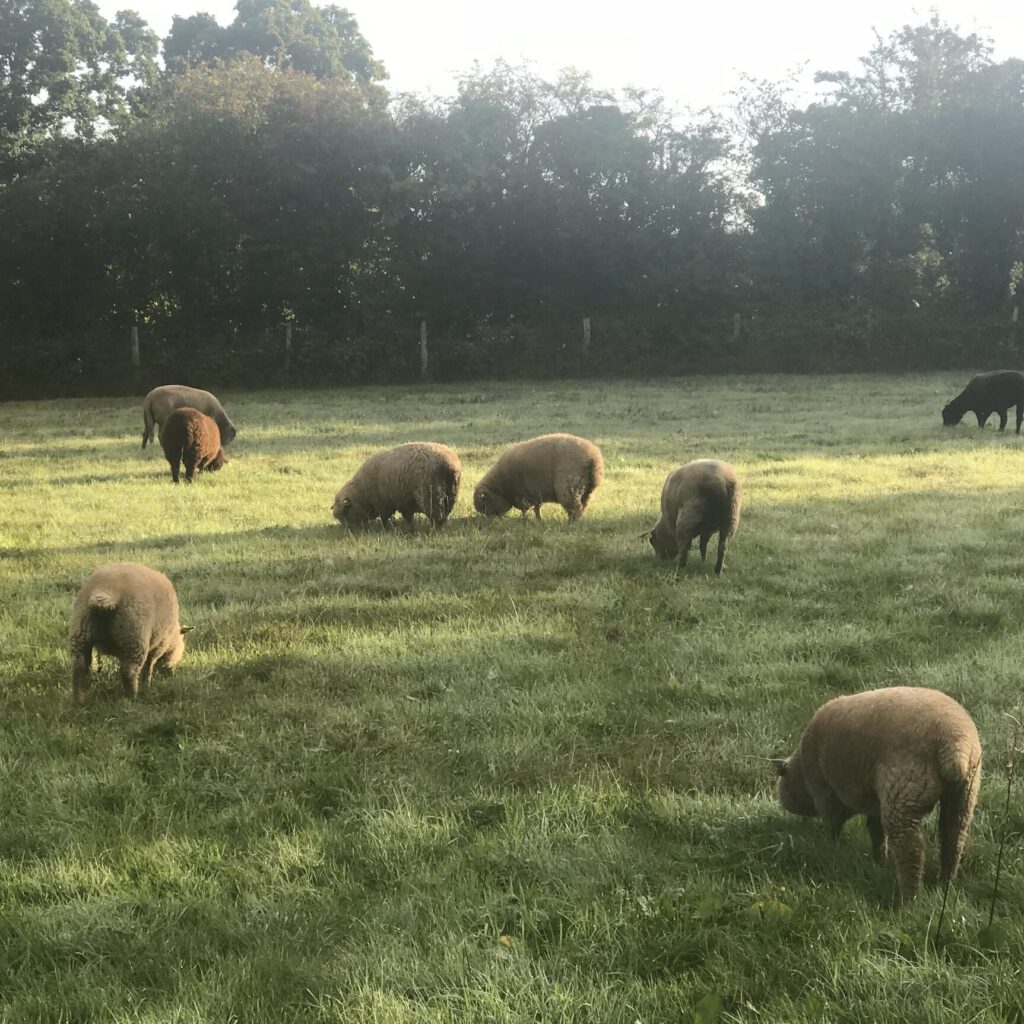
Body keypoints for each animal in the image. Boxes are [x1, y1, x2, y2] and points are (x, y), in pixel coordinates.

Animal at [68, 562, 189, 703]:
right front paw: (146, 684)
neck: (172, 637)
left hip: (80, 632)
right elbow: (148, 665)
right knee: (129, 671)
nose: (170, 672)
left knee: (79, 667)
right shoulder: (158, 645)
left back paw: (79, 700)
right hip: (134, 637)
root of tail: (106, 592)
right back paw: (132, 697)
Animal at [332, 442, 461, 529]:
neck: (362, 493)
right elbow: (407, 516)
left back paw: (435, 529)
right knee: (445, 514)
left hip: (432, 495)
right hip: (450, 495)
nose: (349, 530)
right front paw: (409, 525)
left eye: (346, 513)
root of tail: (450, 465)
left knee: (437, 516)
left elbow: (385, 518)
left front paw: (387, 528)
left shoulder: (383, 504)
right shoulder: (404, 501)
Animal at [473, 433, 604, 522]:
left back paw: (571, 523)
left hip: (569, 488)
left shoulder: (524, 494)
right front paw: (538, 519)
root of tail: (593, 458)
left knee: (575, 507)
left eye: (485, 505)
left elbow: (525, 509)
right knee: (583, 506)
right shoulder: (536, 494)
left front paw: (526, 519)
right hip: (588, 490)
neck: (501, 486)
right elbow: (537, 507)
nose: (492, 521)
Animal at [773, 686, 982, 902]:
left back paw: (909, 899)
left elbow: (833, 825)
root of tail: (955, 744)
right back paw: (945, 882)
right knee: (953, 836)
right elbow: (875, 830)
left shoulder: (825, 791)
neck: (801, 773)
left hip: (904, 791)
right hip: (964, 793)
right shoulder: (874, 801)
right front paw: (879, 859)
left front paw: (830, 849)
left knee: (910, 849)